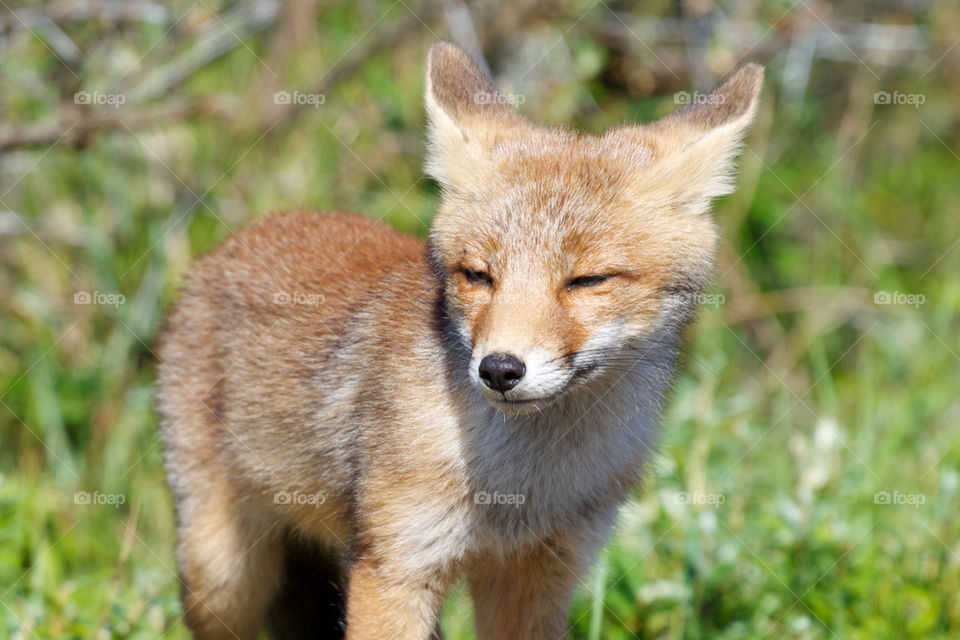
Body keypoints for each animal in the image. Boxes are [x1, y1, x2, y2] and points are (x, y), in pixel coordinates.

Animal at [157, 41, 763, 640]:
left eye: (588, 280)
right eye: (477, 276)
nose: (499, 369)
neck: (521, 484)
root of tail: (244, 235)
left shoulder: (540, 575)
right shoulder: (395, 566)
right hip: (221, 578)